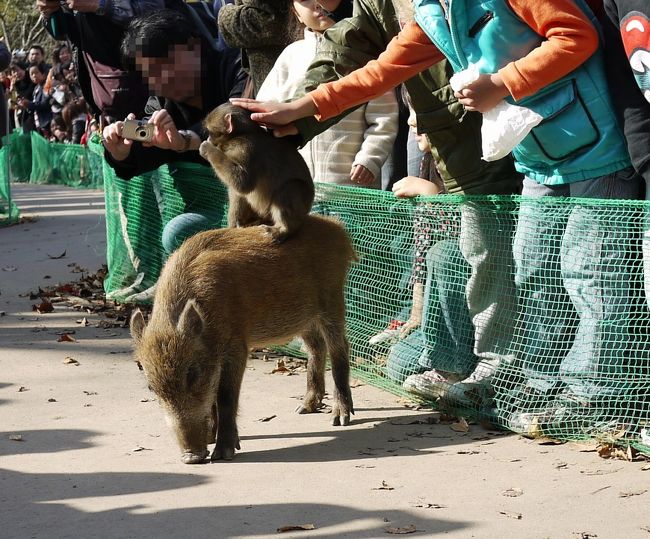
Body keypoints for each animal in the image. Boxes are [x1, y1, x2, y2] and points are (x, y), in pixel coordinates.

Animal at [200, 102, 316, 245]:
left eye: (210, 132)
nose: (208, 138)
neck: (243, 133)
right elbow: (239, 191)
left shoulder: (246, 147)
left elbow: (243, 182)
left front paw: (207, 148)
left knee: (289, 188)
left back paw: (284, 230)